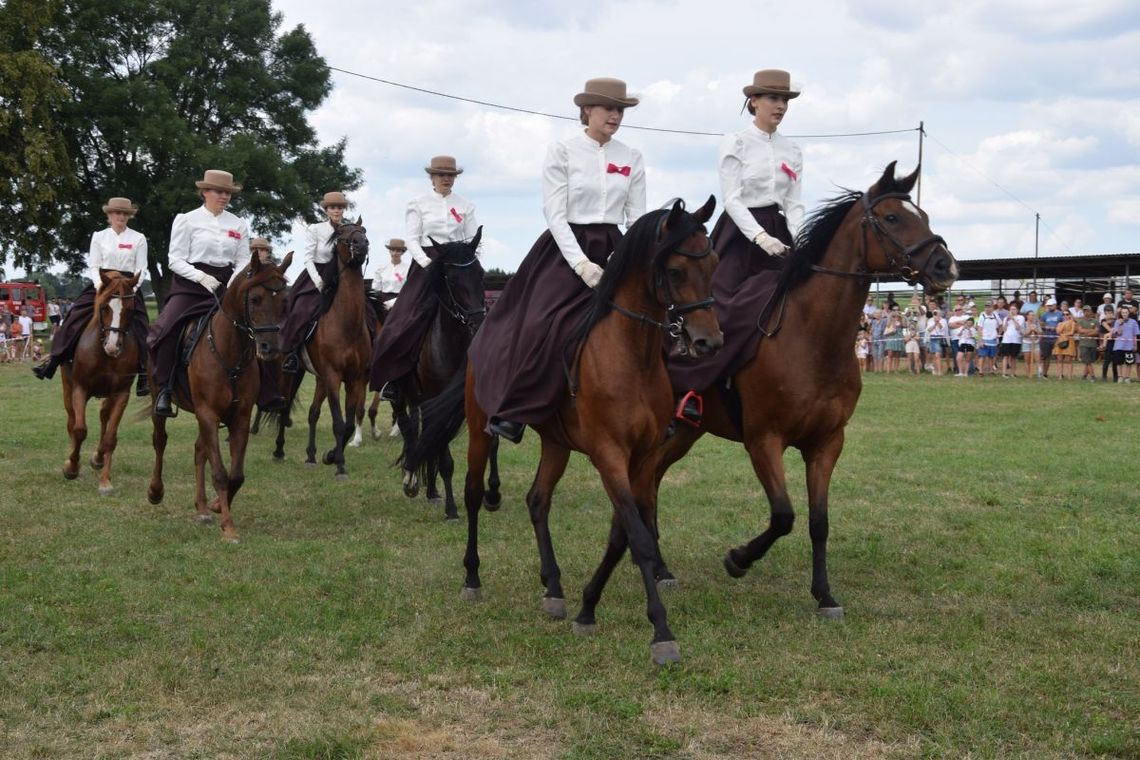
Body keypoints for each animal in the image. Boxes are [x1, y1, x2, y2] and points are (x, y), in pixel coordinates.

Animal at [59, 270, 143, 496]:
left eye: (130, 310)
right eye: (105, 307)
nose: (113, 347)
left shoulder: (121, 393)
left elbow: (110, 438)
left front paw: (105, 481)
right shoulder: (80, 388)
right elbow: (79, 430)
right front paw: (71, 467)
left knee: (104, 417)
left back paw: (98, 459)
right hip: (68, 388)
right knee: (71, 421)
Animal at [147, 252, 294, 544]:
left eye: (284, 300)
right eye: (255, 299)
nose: (269, 348)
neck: (229, 351)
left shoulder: (239, 416)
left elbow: (235, 475)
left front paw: (217, 506)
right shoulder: (208, 413)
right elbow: (220, 473)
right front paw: (228, 527)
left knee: (199, 450)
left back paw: (203, 508)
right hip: (162, 399)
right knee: (160, 441)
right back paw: (156, 492)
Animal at [392, 229, 485, 519]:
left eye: (481, 274)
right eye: (452, 279)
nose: (478, 322)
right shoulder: (434, 398)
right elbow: (443, 457)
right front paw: (452, 509)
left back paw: (431, 489)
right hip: (403, 396)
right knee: (410, 429)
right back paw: (411, 479)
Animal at [414, 198, 725, 665]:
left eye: (714, 263)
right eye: (674, 271)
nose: (709, 342)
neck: (630, 356)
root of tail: (479, 335)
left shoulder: (643, 458)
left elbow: (621, 535)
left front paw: (587, 607)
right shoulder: (608, 455)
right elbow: (638, 537)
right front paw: (661, 631)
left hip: (556, 444)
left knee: (537, 500)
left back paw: (554, 588)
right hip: (480, 430)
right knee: (471, 494)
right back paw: (472, 578)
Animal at [656, 161, 957, 619]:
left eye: (922, 215)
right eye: (892, 218)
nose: (946, 267)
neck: (812, 337)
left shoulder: (826, 443)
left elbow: (819, 522)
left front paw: (824, 595)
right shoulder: (764, 440)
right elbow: (784, 516)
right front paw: (738, 559)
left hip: (686, 431)